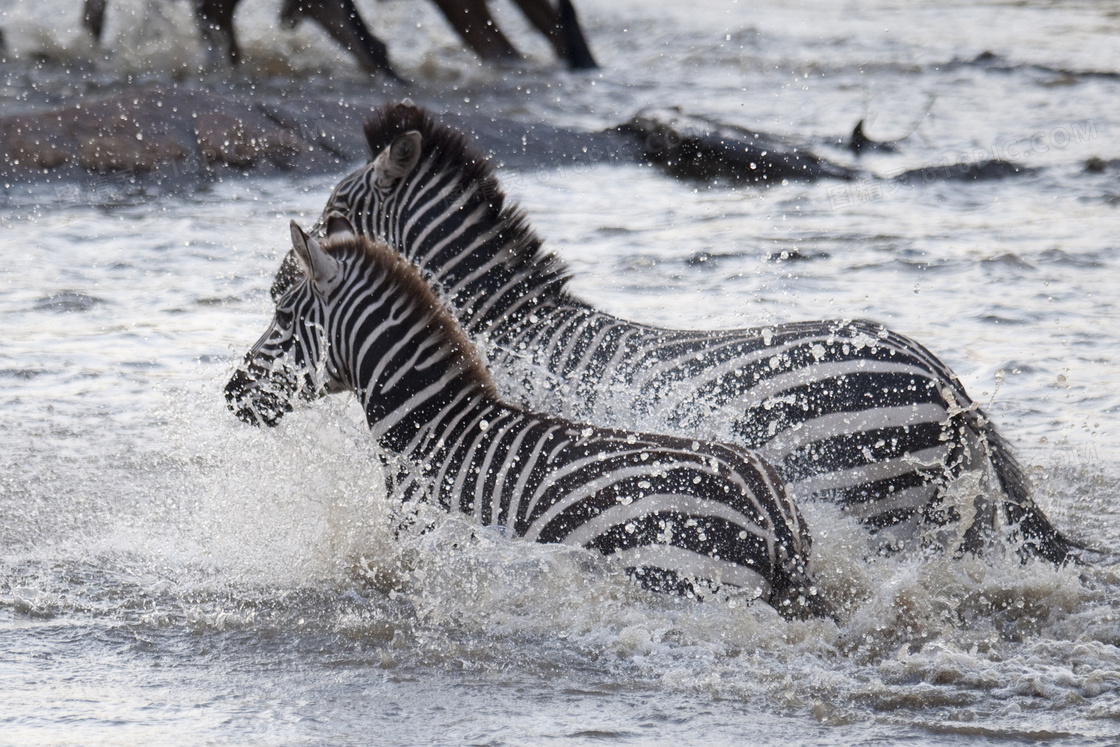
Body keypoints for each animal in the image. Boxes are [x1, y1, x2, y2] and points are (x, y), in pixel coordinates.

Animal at [225, 215, 833, 618]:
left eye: (283, 316)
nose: (230, 393)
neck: (435, 430)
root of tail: (771, 513)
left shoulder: (429, 546)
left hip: (681, 574)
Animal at [268, 102, 1075, 564]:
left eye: (334, 218)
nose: (284, 272)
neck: (509, 326)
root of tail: (943, 378)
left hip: (877, 508)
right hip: (942, 520)